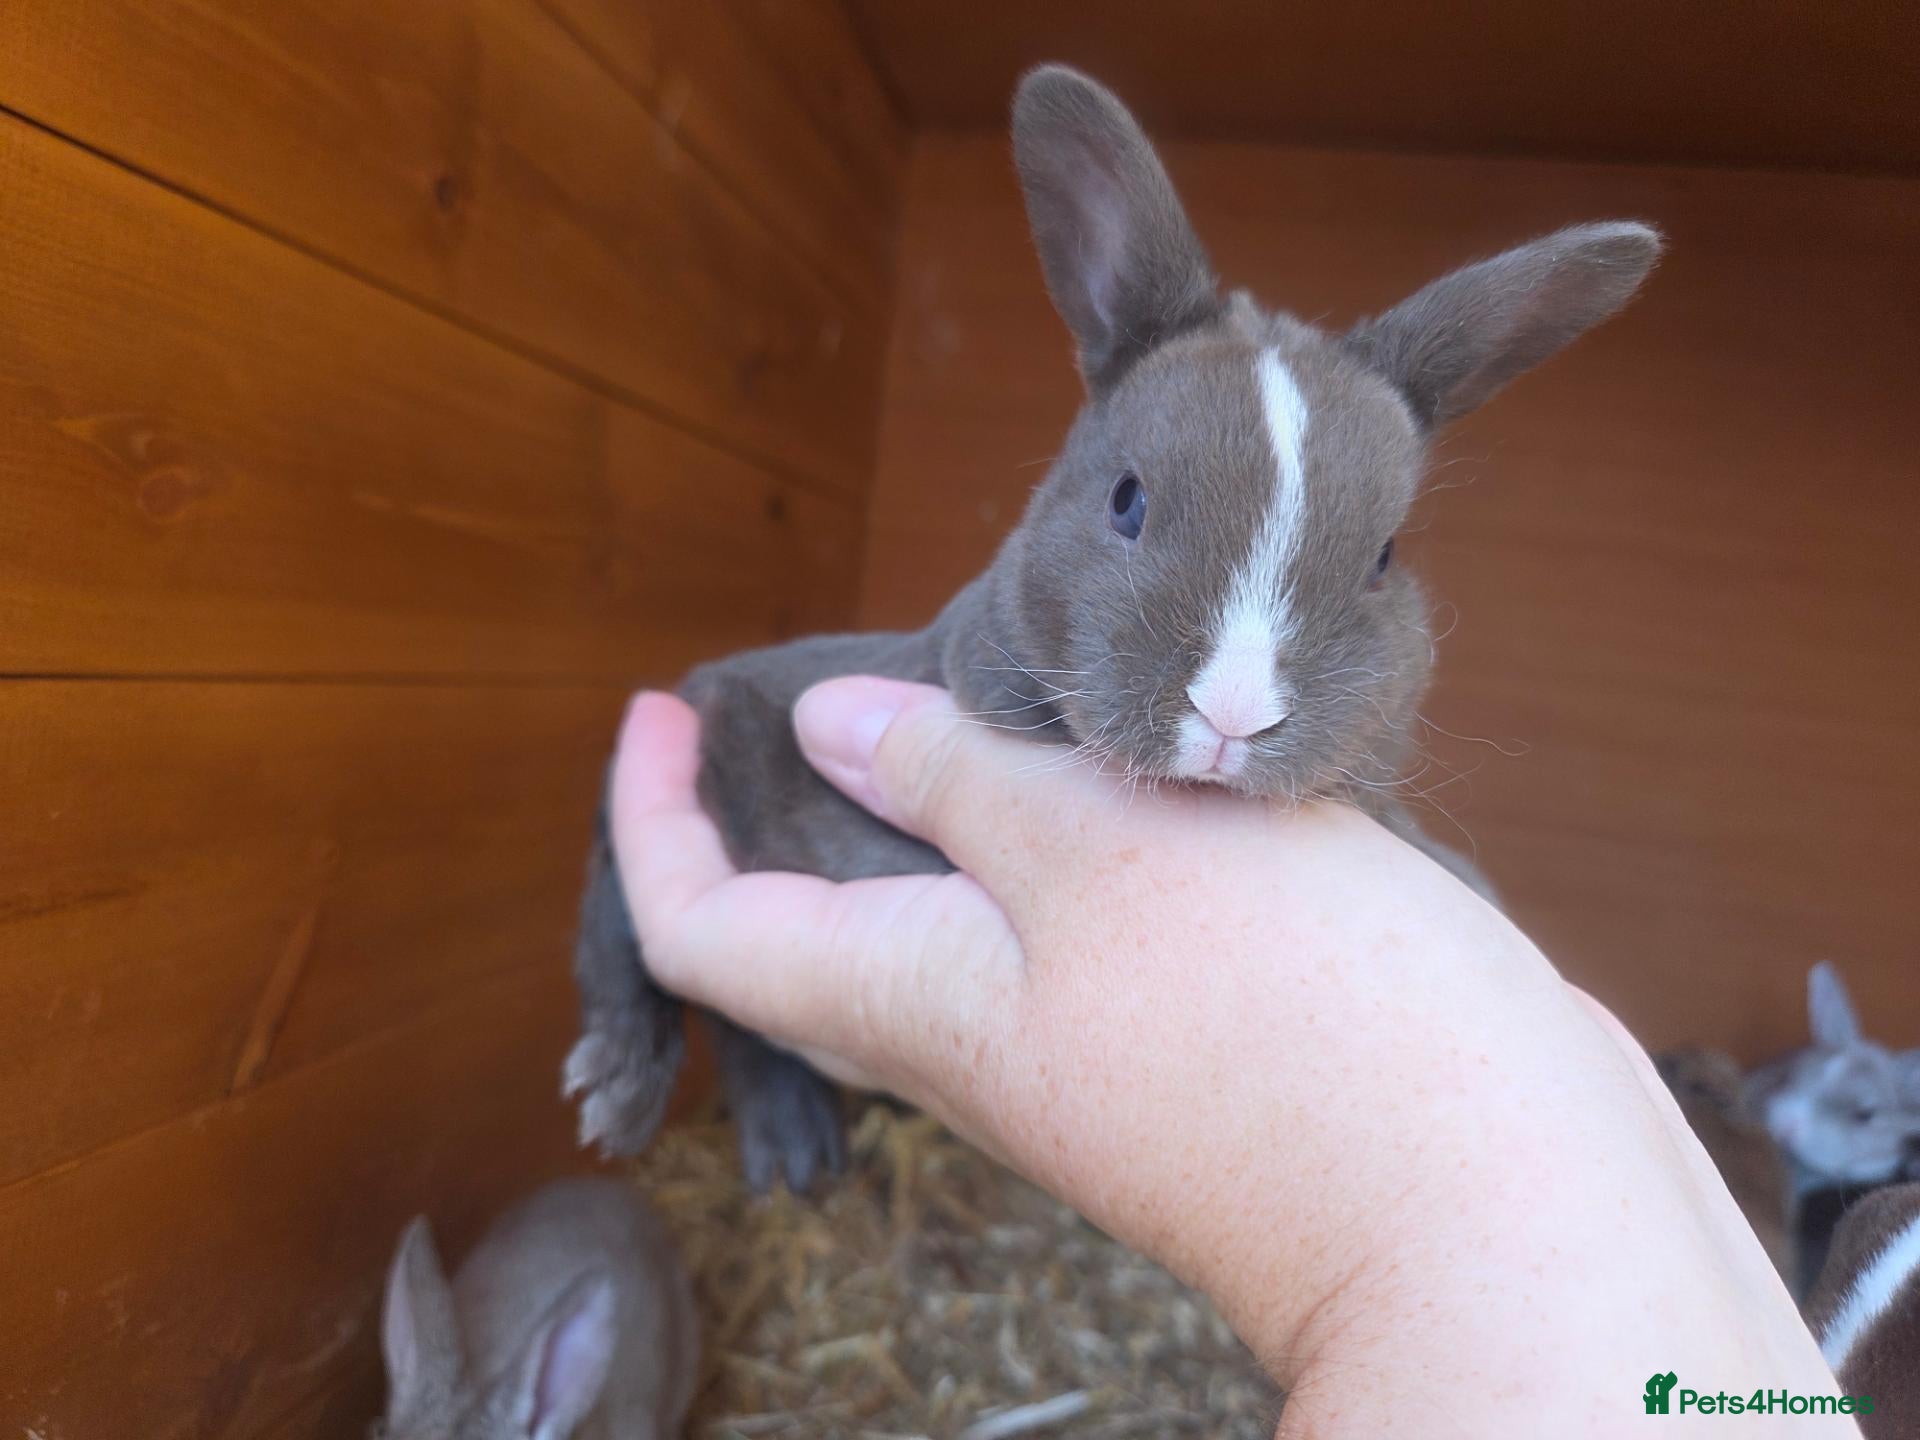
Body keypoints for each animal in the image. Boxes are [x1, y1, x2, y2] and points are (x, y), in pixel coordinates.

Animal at [564, 62, 1664, 1190]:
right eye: (1127, 500)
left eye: (1384, 558)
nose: (1234, 713)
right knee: (620, 925)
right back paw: (628, 1094)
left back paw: (795, 1151)